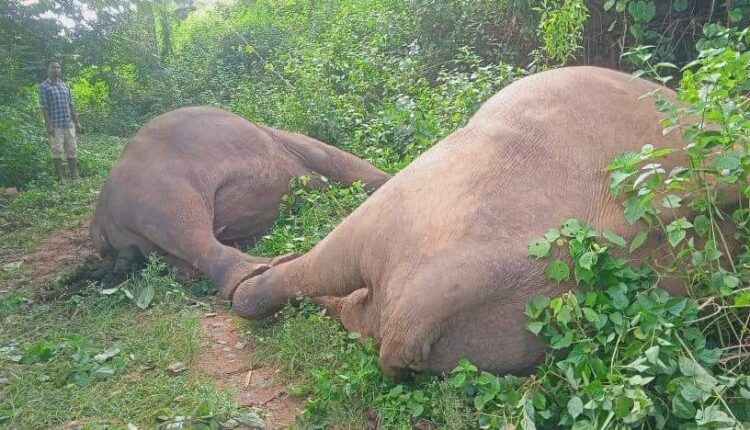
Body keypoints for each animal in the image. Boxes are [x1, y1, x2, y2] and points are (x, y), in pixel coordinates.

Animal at [89, 106, 391, 297]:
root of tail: (100, 218)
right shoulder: (298, 145)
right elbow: (338, 160)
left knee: (177, 262)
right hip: (158, 192)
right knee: (188, 230)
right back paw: (266, 268)